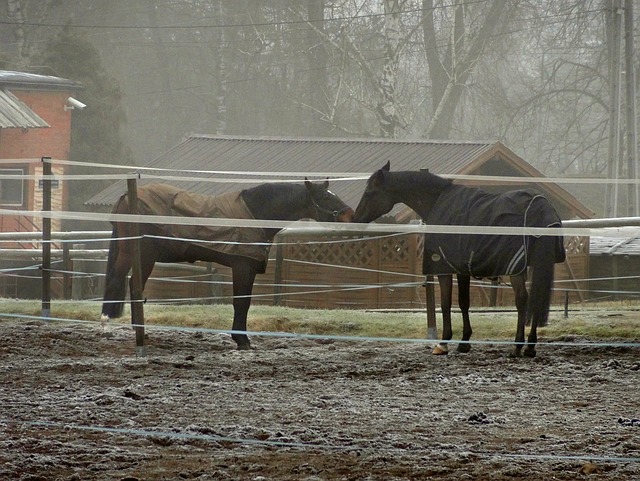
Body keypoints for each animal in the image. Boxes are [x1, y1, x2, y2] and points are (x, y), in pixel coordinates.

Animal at [102, 180, 352, 348]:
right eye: (326, 197)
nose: (350, 216)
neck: (254, 214)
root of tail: (126, 197)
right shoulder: (242, 267)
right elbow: (241, 302)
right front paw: (241, 339)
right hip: (134, 254)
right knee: (118, 282)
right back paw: (110, 325)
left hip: (146, 257)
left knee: (134, 286)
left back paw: (141, 331)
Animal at [352, 161, 568, 356]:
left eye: (370, 193)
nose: (355, 220)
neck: (437, 201)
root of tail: (540, 204)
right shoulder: (463, 269)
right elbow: (464, 302)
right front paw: (464, 341)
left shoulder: (444, 267)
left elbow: (447, 303)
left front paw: (444, 343)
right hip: (533, 265)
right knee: (535, 299)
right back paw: (530, 346)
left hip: (516, 268)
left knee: (522, 299)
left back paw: (517, 346)